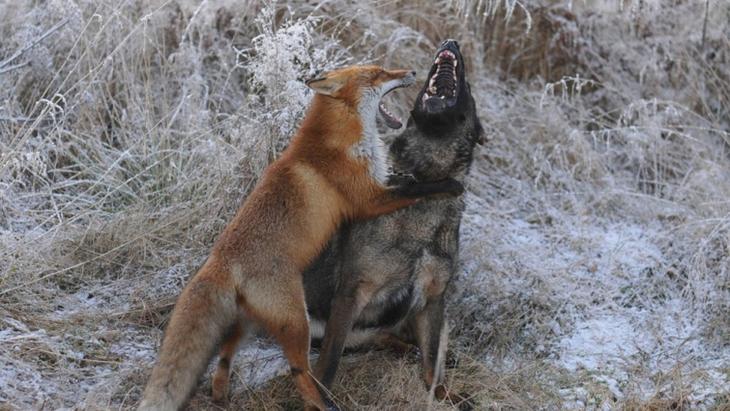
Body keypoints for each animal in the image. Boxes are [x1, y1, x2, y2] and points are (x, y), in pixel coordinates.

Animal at [138, 66, 460, 410]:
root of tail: (219, 259)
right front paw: (449, 184)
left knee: (225, 351)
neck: (339, 141)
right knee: (299, 370)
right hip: (297, 322)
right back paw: (323, 402)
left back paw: (221, 393)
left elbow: (408, 184)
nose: (411, 71)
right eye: (376, 74)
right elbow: (417, 189)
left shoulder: (376, 190)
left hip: (253, 320)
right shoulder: (368, 199)